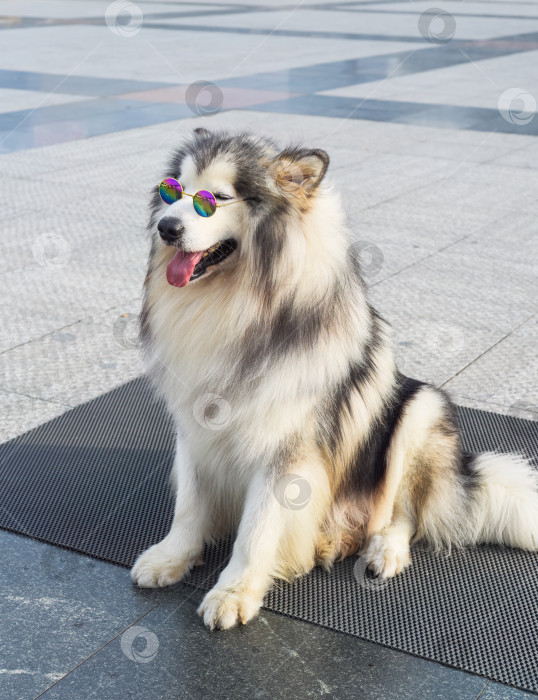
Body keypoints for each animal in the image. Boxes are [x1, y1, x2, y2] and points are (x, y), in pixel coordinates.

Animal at [131, 129, 536, 632]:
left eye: (216, 199)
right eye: (173, 191)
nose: (166, 227)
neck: (236, 302)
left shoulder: (286, 448)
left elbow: (257, 529)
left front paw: (234, 592)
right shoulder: (195, 423)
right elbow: (189, 503)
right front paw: (172, 556)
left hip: (418, 412)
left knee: (403, 513)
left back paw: (382, 550)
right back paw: (330, 541)